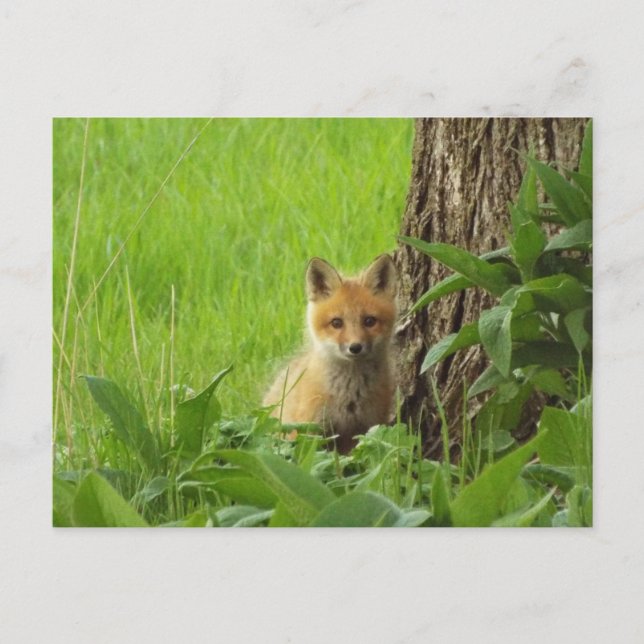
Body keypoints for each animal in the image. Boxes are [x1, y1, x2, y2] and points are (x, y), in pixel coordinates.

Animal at [263, 254, 397, 454]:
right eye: (336, 323)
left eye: (369, 321)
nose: (355, 347)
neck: (349, 397)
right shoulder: (307, 429)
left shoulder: (365, 430)